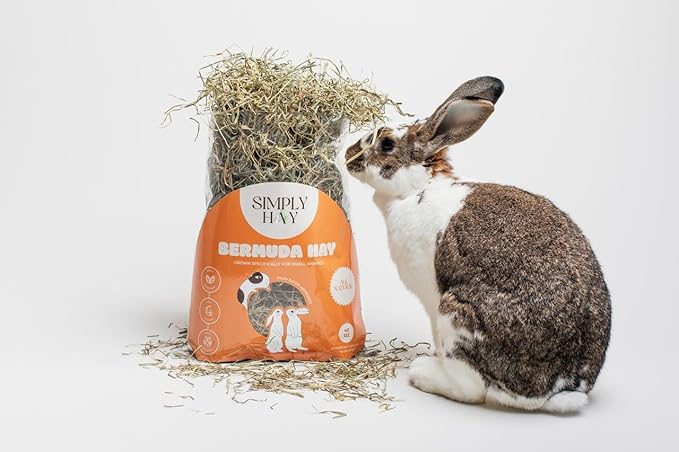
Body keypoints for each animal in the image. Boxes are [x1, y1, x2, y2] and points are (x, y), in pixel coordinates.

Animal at [344, 76, 611, 413]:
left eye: (386, 144)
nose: (348, 154)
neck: (418, 189)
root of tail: (561, 387)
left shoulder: (432, 298)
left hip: (456, 313)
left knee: (470, 388)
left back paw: (423, 372)